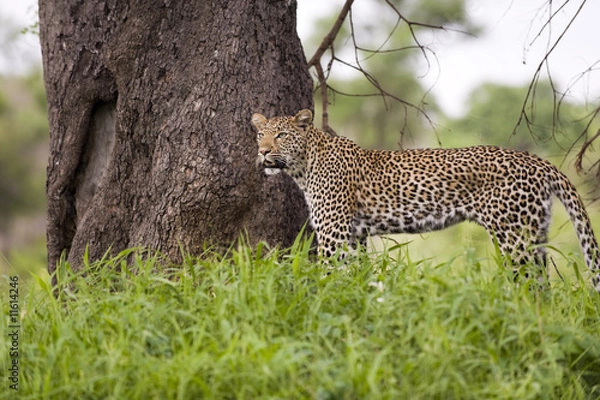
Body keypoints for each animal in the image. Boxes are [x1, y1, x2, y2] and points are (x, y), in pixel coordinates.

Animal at [251, 109, 596, 290]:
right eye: (260, 134)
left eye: (281, 135)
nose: (263, 152)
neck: (303, 164)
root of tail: (538, 161)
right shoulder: (354, 236)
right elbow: (355, 277)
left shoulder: (334, 234)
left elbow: (327, 275)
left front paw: (324, 303)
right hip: (534, 233)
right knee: (542, 282)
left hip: (515, 236)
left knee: (530, 284)